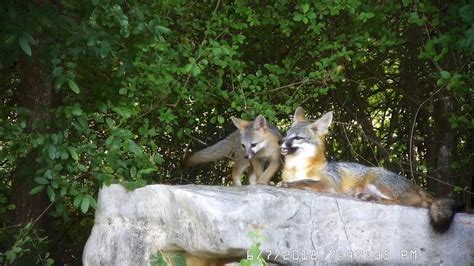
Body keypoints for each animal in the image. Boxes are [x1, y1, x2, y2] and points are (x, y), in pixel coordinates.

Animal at [282, 106, 460, 233]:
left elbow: (305, 181)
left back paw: (375, 199)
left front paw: (288, 185)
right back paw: (368, 197)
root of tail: (417, 186)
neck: (296, 168)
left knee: (404, 203)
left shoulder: (330, 184)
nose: (281, 144)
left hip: (375, 180)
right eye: (286, 135)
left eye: (297, 138)